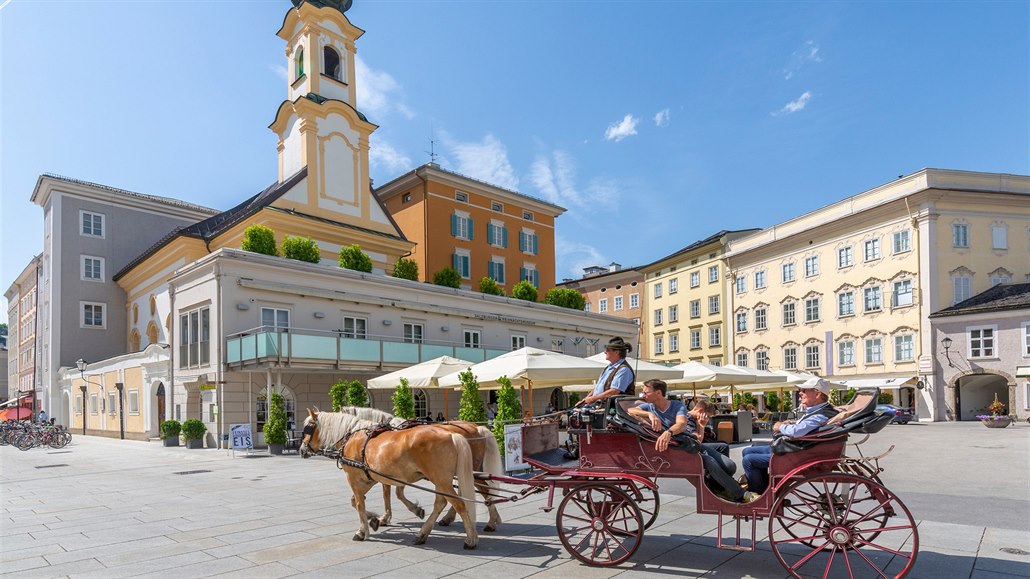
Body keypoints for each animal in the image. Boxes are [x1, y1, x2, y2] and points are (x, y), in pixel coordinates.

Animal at [294, 405, 477, 543]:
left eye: (308, 428)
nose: (302, 450)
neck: (354, 435)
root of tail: (452, 434)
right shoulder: (371, 477)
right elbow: (362, 500)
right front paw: (375, 519)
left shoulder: (354, 478)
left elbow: (360, 503)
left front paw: (363, 530)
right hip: (441, 480)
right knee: (442, 502)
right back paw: (424, 533)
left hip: (441, 479)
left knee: (459, 503)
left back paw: (470, 538)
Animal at [339, 403, 504, 531]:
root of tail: (477, 428)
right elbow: (393, 493)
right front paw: (385, 517)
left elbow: (390, 494)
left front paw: (384, 518)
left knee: (482, 491)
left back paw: (490, 521)